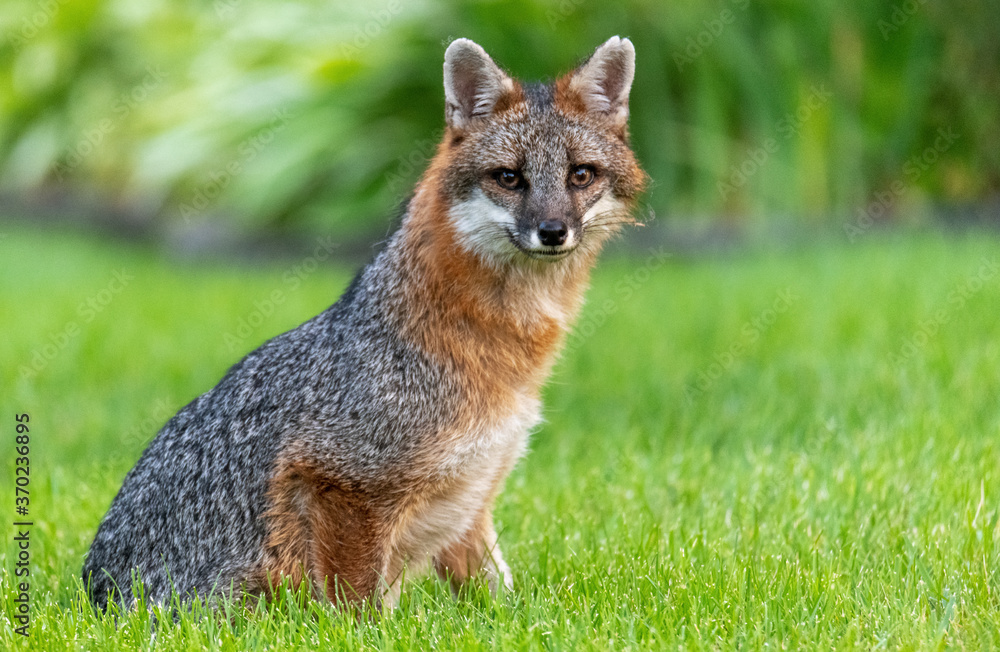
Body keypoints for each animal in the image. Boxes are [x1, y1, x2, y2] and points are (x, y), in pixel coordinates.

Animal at [86, 35, 648, 612]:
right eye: (510, 178)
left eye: (581, 174)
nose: (553, 231)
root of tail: (98, 595)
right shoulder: (343, 482)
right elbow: (358, 608)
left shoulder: (471, 498)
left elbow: (498, 596)